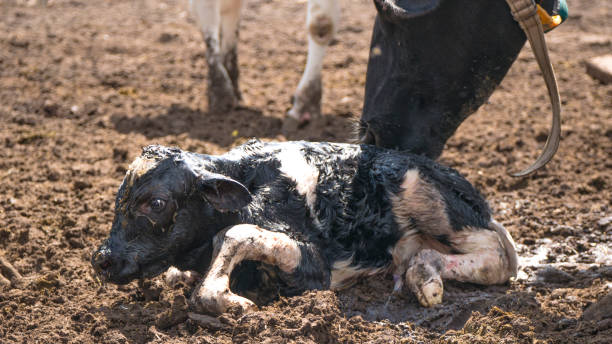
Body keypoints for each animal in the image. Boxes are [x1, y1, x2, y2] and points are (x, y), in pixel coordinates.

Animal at [93, 140, 520, 314]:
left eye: (156, 203)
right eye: (119, 199)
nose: (102, 259)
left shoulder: (315, 268)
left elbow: (236, 234)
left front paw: (223, 299)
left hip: (422, 191)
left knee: (501, 255)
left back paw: (426, 275)